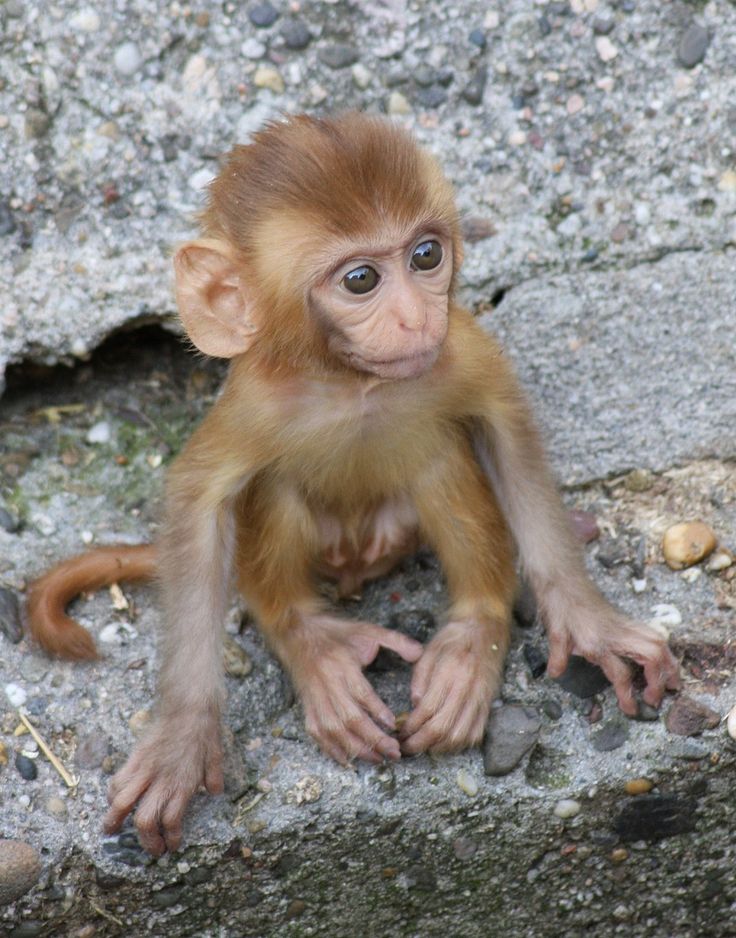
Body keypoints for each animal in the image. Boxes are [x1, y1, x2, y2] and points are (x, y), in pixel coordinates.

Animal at [27, 113, 680, 852]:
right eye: (362, 278)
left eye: (425, 256)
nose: (415, 317)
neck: (354, 382)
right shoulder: (255, 402)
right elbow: (200, 500)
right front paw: (183, 735)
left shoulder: (461, 349)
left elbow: (505, 430)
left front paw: (587, 617)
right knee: (275, 502)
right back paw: (315, 644)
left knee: (439, 461)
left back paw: (473, 636)